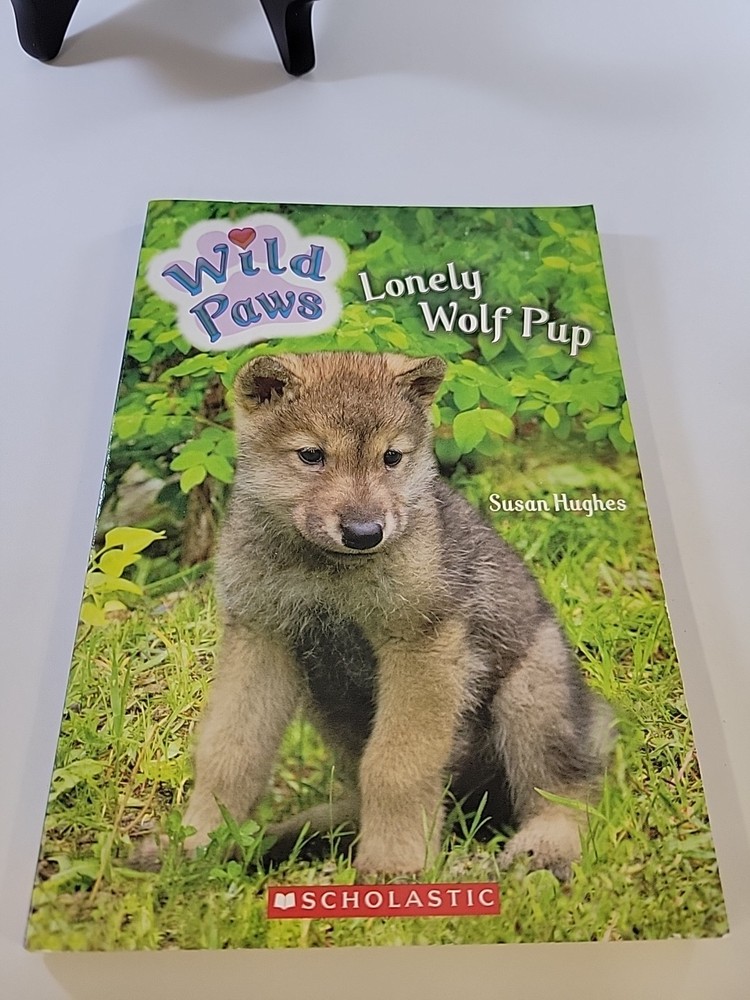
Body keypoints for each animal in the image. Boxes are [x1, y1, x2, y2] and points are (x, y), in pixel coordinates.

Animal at [179, 351, 612, 880]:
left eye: (392, 457)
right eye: (311, 455)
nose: (365, 533)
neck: (328, 570)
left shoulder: (421, 642)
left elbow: (394, 766)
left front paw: (394, 865)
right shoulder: (261, 635)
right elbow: (228, 753)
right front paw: (196, 843)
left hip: (532, 696)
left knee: (569, 788)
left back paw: (546, 847)